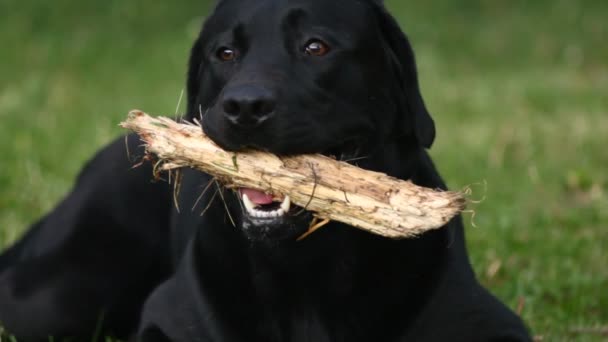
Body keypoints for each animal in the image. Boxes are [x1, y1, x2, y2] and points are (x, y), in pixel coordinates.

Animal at [0, 0, 528, 342]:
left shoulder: (489, 323)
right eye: (225, 53)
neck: (307, 266)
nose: (244, 106)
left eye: (315, 47)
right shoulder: (165, 319)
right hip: (53, 299)